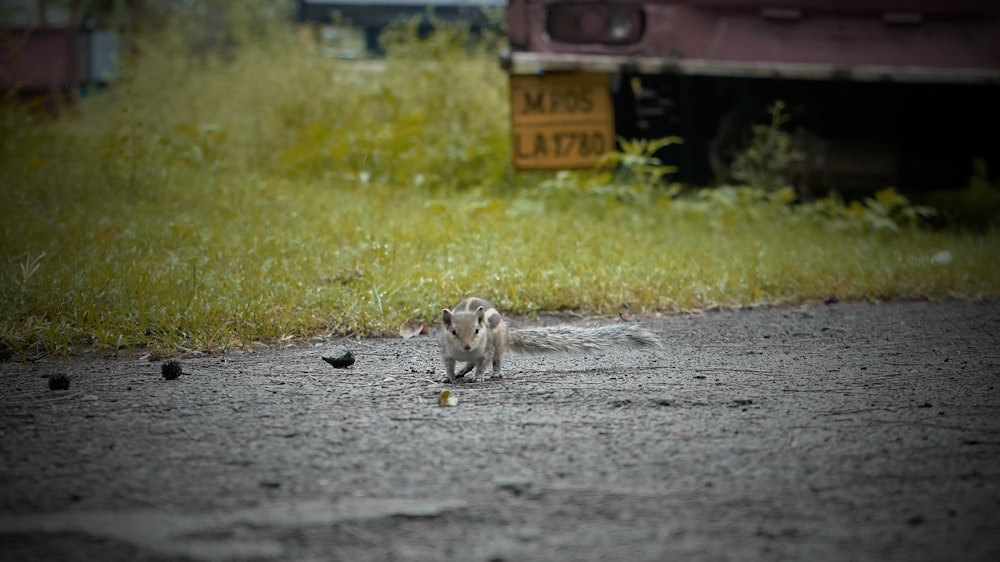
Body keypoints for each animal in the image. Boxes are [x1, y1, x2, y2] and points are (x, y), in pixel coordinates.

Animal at [440, 296, 660, 382]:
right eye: (453, 332)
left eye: (477, 330)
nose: (467, 346)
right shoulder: (447, 351)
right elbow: (449, 363)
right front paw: (449, 377)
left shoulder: (486, 349)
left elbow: (484, 363)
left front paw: (479, 377)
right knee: (468, 364)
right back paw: (461, 372)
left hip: (499, 343)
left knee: (497, 360)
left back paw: (495, 373)